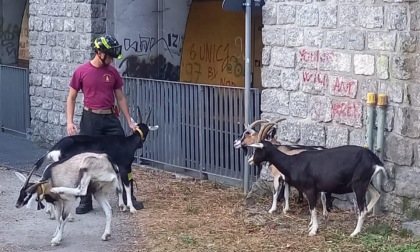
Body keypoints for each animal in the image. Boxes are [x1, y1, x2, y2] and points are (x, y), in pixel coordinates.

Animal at [25, 107, 159, 214]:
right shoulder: (125, 167)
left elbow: (119, 187)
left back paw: (50, 211)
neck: (127, 143)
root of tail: (54, 149)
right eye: (147, 131)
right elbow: (126, 187)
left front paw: (122, 206)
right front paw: (132, 208)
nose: (141, 145)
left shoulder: (117, 168)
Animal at [246, 141, 394, 237]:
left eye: (257, 150)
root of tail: (374, 160)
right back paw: (367, 214)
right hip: (366, 183)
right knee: (376, 195)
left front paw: (313, 230)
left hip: (359, 185)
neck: (293, 163)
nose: (249, 161)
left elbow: (312, 209)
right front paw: (312, 226)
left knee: (362, 209)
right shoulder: (312, 190)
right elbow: (312, 208)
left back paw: (355, 232)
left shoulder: (310, 188)